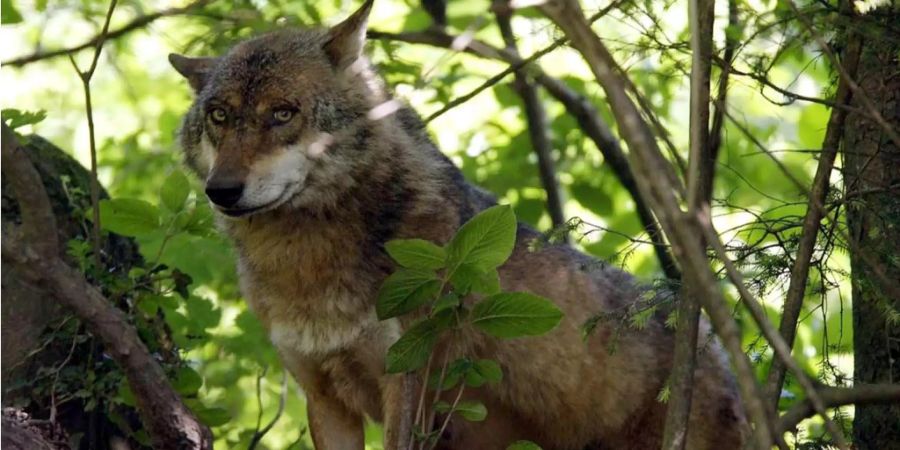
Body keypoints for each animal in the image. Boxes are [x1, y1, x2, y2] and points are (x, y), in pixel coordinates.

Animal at [169, 1, 744, 448]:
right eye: (220, 115)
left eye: (283, 113)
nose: (221, 191)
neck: (308, 261)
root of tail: (719, 351)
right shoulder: (324, 398)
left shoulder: (407, 385)